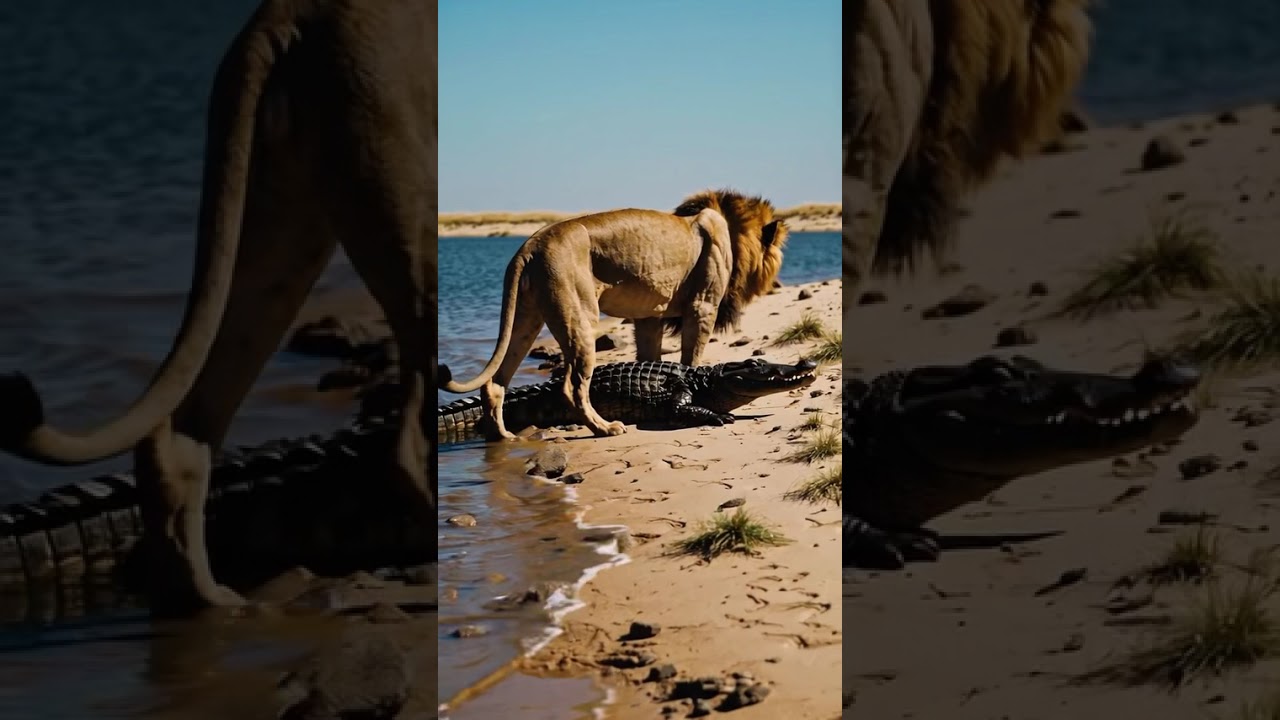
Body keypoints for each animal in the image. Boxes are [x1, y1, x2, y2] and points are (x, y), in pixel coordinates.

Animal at [0, 0, 437, 611]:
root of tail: (288, 13)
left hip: (276, 231)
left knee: (180, 435)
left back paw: (214, 603)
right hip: (402, 198)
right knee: (410, 437)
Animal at [437, 188, 787, 441]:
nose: (781, 285)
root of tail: (529, 245)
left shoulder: (649, 317)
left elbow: (650, 358)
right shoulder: (703, 306)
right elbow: (692, 358)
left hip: (526, 320)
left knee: (495, 384)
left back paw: (503, 437)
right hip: (580, 318)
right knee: (571, 386)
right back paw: (605, 428)